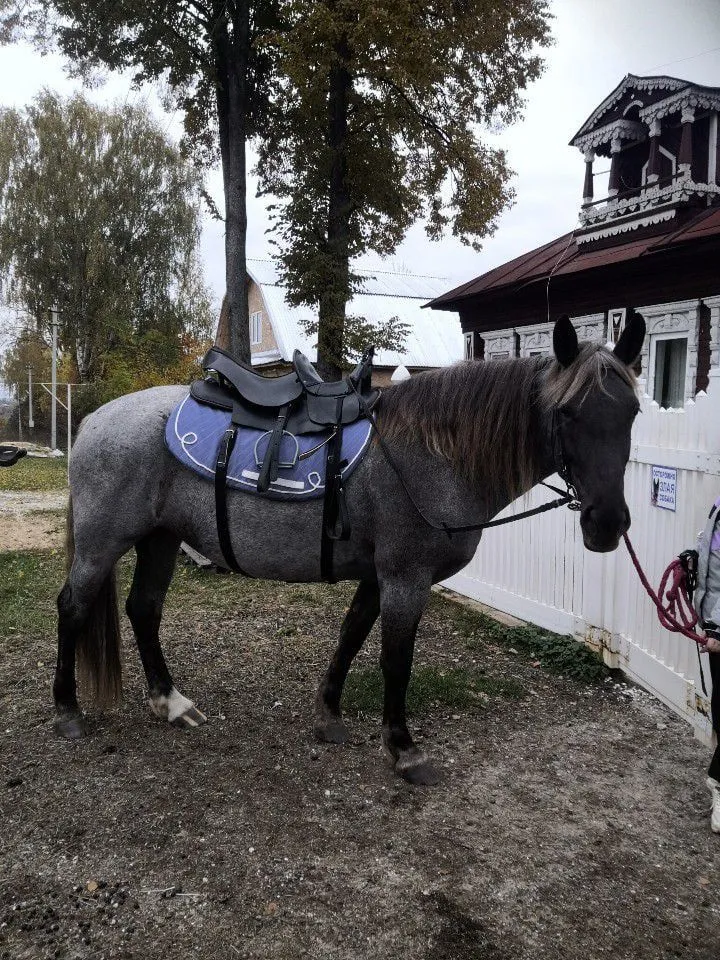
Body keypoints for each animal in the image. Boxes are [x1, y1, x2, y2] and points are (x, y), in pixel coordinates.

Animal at [54, 314, 645, 785]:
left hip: (159, 538)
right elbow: (395, 659)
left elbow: (352, 634)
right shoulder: (406, 576)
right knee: (72, 607)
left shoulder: (378, 574)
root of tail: (93, 420)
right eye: (567, 414)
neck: (434, 451)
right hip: (102, 545)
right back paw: (67, 711)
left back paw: (170, 702)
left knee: (143, 609)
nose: (607, 523)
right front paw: (403, 749)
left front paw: (328, 714)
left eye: (633, 413)